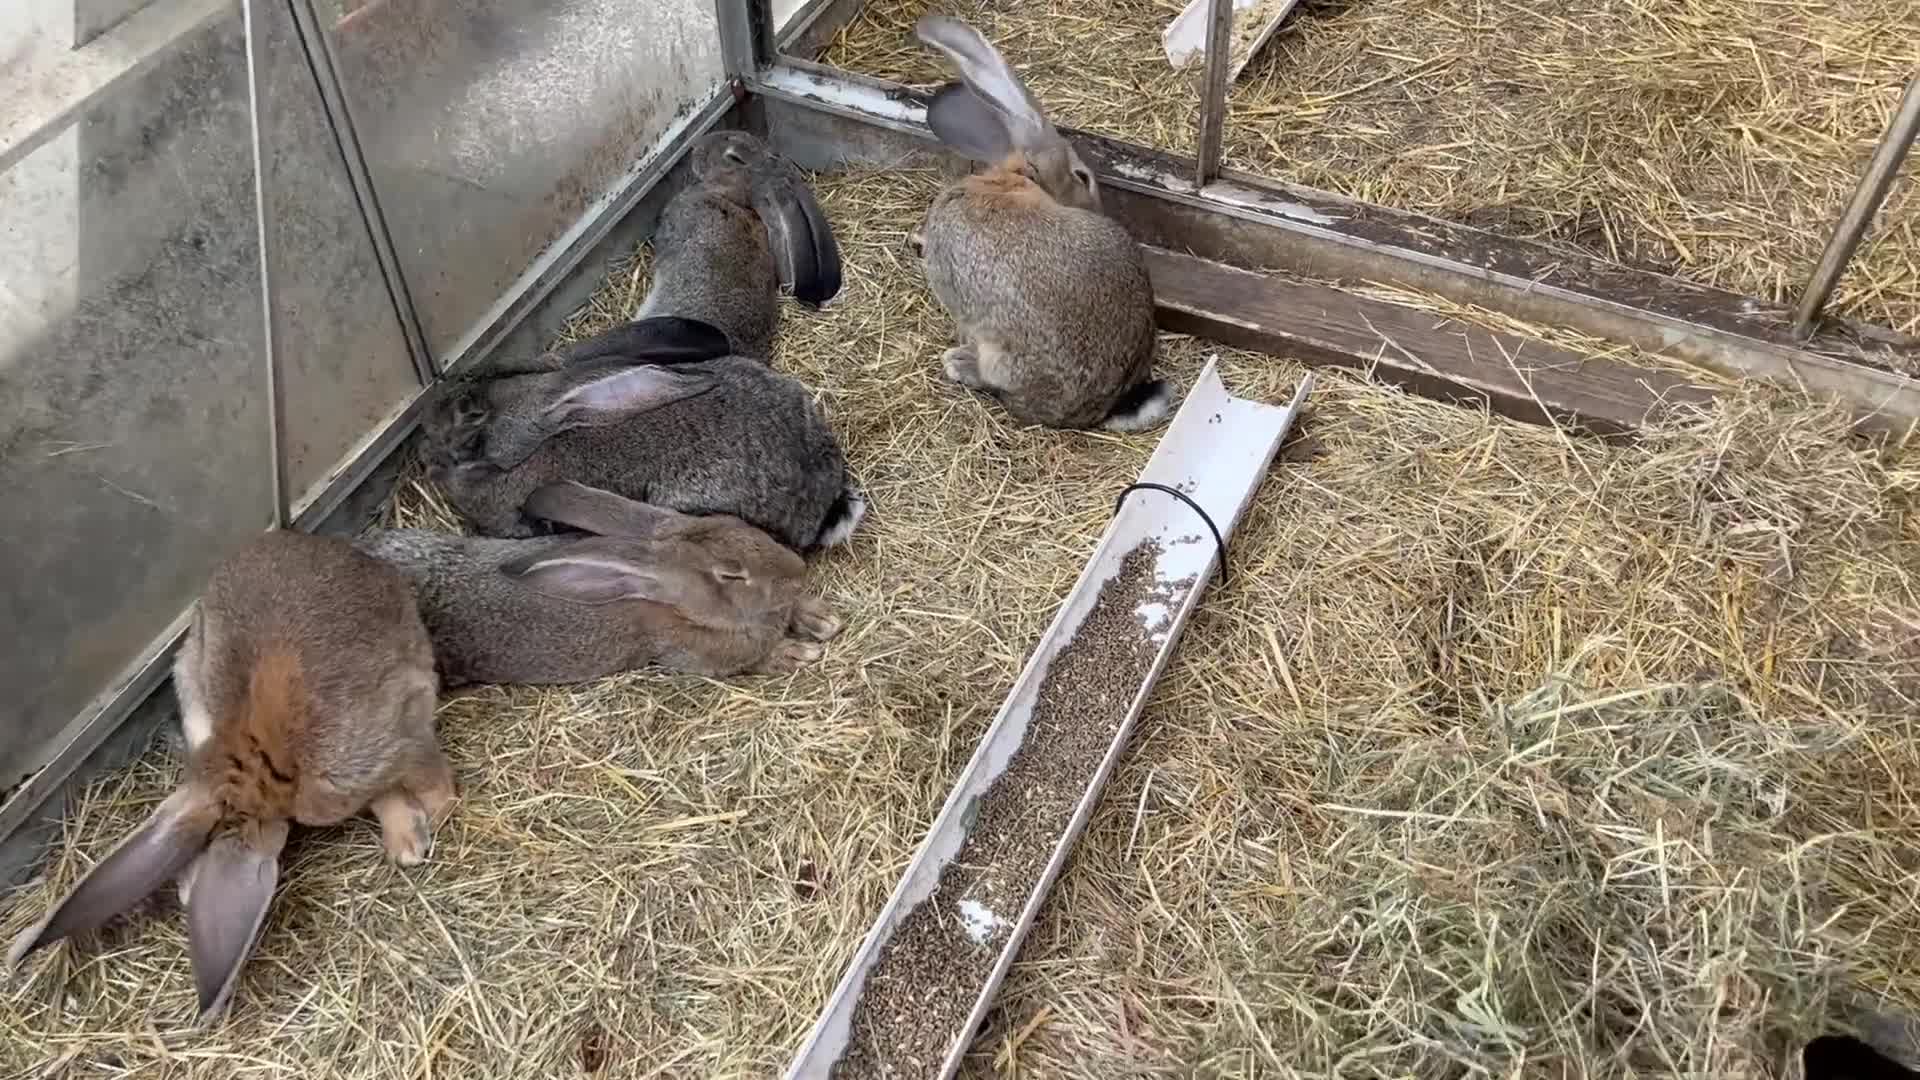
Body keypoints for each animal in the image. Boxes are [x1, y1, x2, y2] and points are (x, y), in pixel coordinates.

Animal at [5, 530, 449, 1026]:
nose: (183, 892)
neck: (257, 767)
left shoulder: (400, 731)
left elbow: (430, 781)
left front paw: (426, 827)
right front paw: (411, 834)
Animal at [906, 15, 1172, 433]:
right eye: (1081, 176)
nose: (1099, 207)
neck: (1016, 178)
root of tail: (1101, 407)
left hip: (1000, 354)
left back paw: (959, 363)